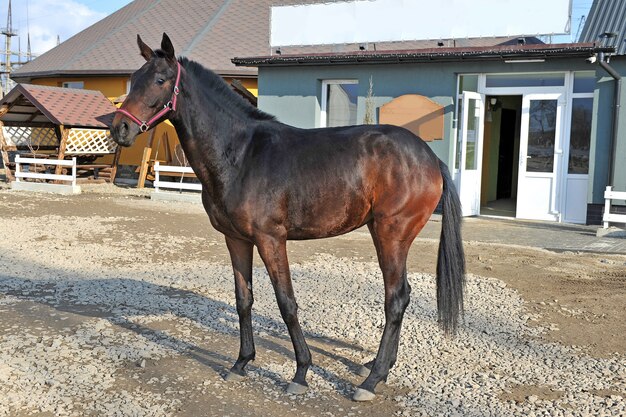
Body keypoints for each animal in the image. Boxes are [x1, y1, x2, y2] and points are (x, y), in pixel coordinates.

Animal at [111, 32, 464, 400]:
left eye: (160, 80)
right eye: (134, 79)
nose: (119, 128)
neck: (241, 154)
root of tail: (429, 157)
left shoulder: (271, 239)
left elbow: (286, 303)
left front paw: (301, 372)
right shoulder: (236, 239)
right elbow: (243, 300)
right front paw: (241, 363)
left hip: (391, 233)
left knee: (395, 298)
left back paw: (371, 380)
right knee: (401, 295)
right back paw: (378, 369)